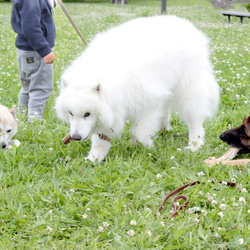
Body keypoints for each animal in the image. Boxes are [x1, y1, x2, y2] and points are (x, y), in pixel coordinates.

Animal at [55, 16, 220, 164]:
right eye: (70, 113)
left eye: (87, 114)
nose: (75, 137)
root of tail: (188, 26)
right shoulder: (110, 113)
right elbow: (101, 140)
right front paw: (94, 158)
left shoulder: (149, 104)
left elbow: (138, 133)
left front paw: (148, 146)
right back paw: (164, 128)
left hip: (188, 89)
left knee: (195, 119)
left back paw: (194, 145)